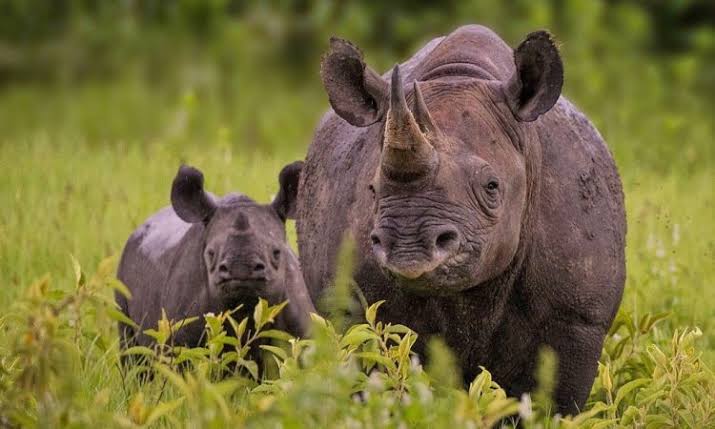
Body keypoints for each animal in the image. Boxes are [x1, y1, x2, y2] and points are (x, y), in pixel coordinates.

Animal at [296, 25, 626, 414]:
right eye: (372, 189)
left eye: (491, 186)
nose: (409, 247)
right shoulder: (356, 310)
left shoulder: (577, 317)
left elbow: (553, 402)